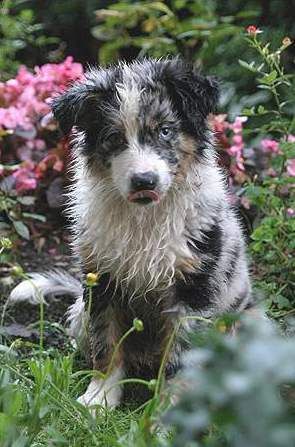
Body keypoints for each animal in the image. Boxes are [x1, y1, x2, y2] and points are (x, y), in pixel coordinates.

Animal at [8, 58, 254, 410]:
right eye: (114, 137)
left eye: (165, 130)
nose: (144, 181)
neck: (144, 217)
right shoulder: (102, 278)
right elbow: (106, 343)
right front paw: (99, 399)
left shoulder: (193, 288)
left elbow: (182, 356)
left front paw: (169, 409)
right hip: (79, 313)